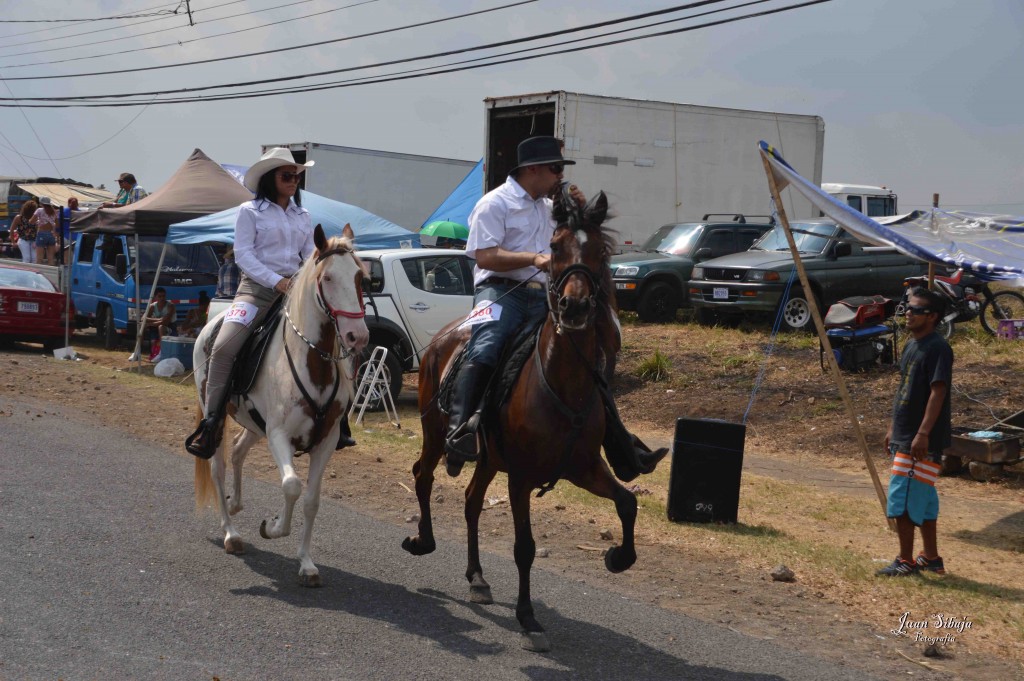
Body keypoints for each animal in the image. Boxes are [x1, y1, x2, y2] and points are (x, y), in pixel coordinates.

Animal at [192, 223, 368, 585]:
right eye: (328, 278)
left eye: (360, 277)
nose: (358, 336)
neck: (311, 362)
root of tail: (210, 326)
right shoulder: (279, 436)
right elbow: (291, 486)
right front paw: (272, 527)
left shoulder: (326, 441)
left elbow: (311, 500)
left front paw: (307, 564)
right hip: (217, 418)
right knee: (218, 467)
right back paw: (231, 534)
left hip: (254, 424)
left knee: (238, 450)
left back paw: (235, 503)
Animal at [399, 184, 638, 647]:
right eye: (555, 246)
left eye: (601, 251)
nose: (575, 307)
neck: (562, 385)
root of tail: (440, 339)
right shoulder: (522, 478)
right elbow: (524, 547)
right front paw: (527, 616)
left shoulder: (584, 467)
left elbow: (627, 502)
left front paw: (618, 557)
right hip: (436, 434)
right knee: (423, 476)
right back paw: (423, 541)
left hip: (489, 459)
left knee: (471, 501)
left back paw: (477, 577)